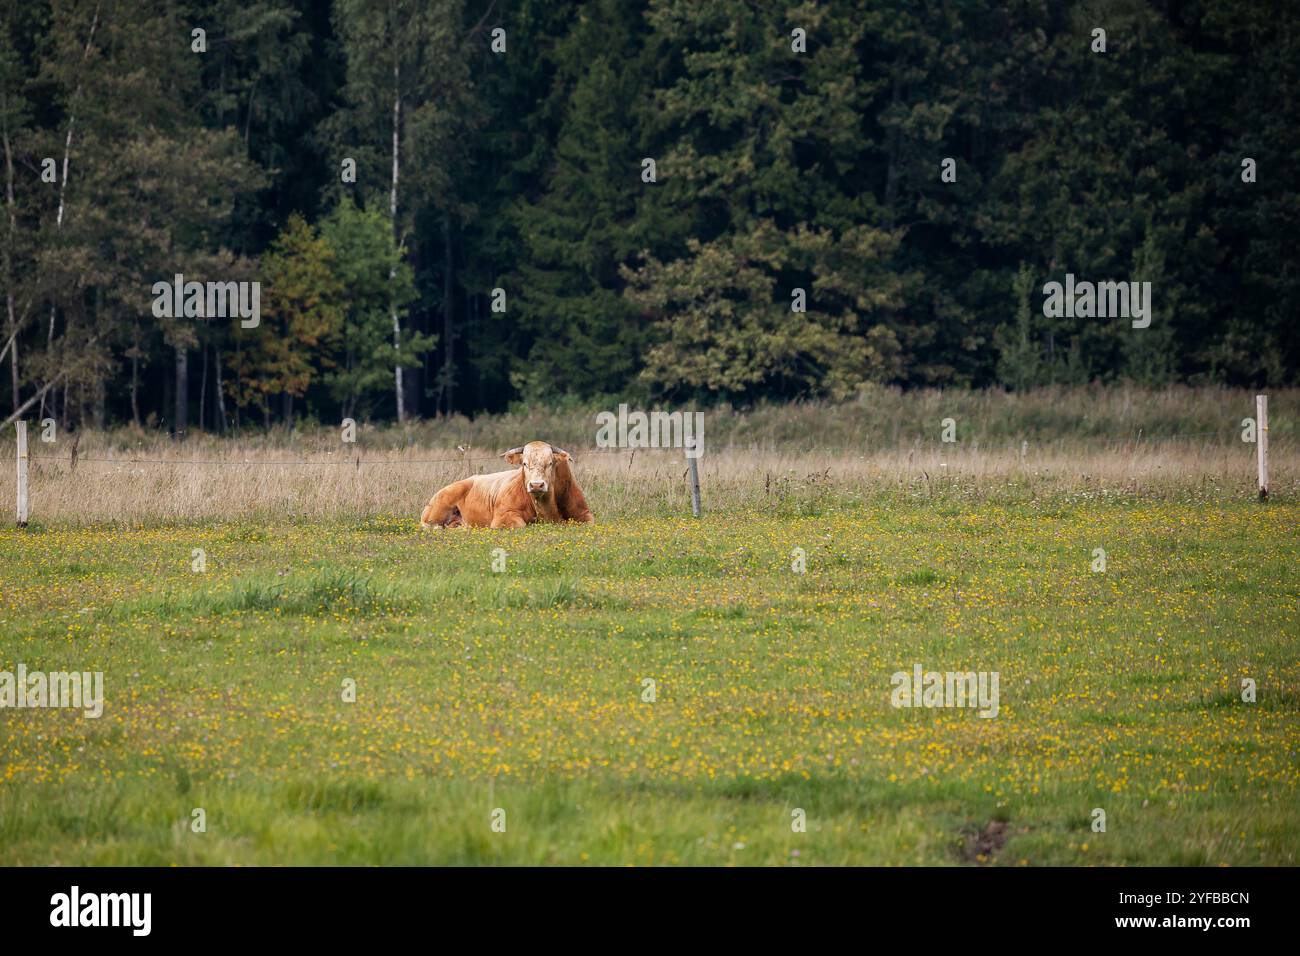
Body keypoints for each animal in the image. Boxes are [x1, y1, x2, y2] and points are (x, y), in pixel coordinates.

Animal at [421, 442, 595, 530]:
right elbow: (521, 525)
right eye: (524, 463)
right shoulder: (502, 516)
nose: (536, 485)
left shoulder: (585, 513)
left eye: (550, 463)